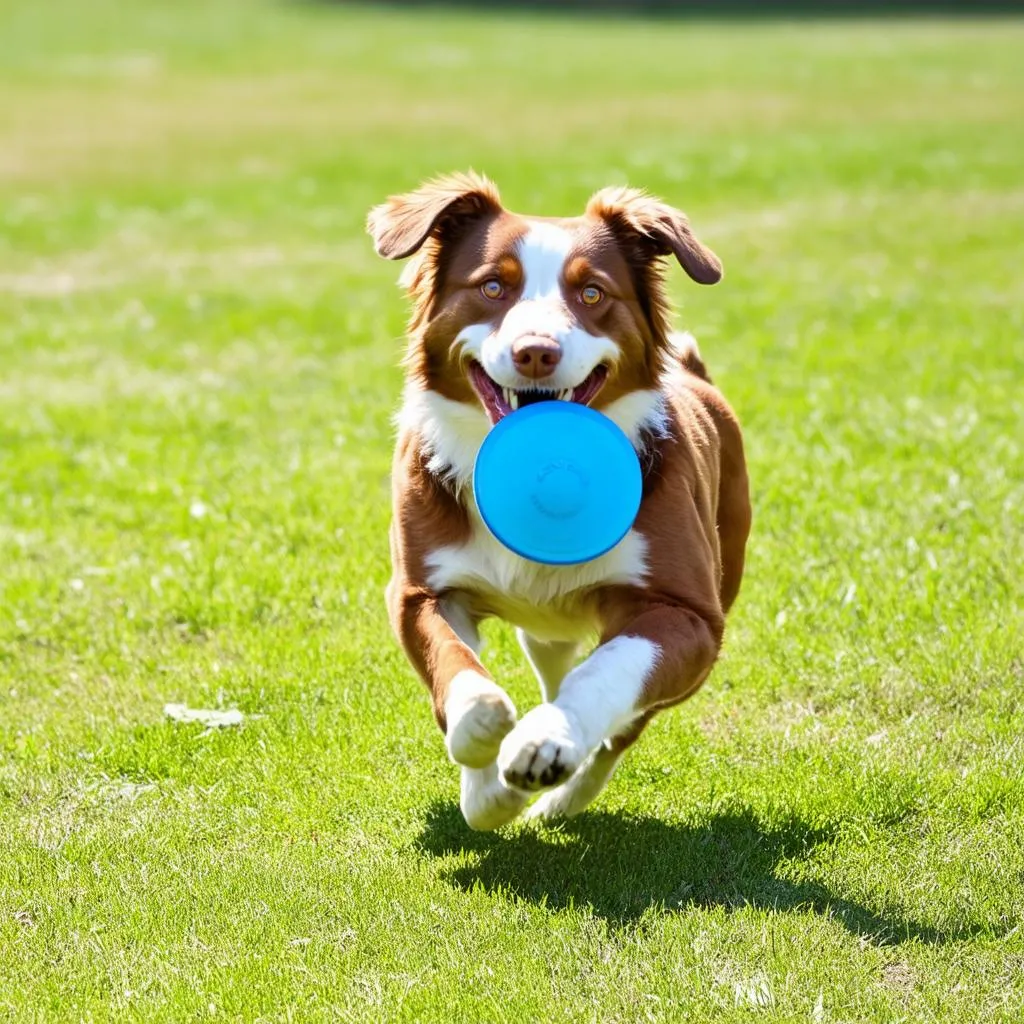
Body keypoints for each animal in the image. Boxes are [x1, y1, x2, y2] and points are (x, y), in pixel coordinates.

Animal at [368, 174, 753, 831]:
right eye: (492, 287)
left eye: (592, 292)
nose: (536, 351)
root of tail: (696, 375)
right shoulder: (419, 590)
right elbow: (455, 666)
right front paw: (484, 763)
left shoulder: (690, 615)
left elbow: (609, 671)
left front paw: (545, 740)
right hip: (544, 632)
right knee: (556, 667)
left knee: (619, 725)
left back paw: (560, 794)